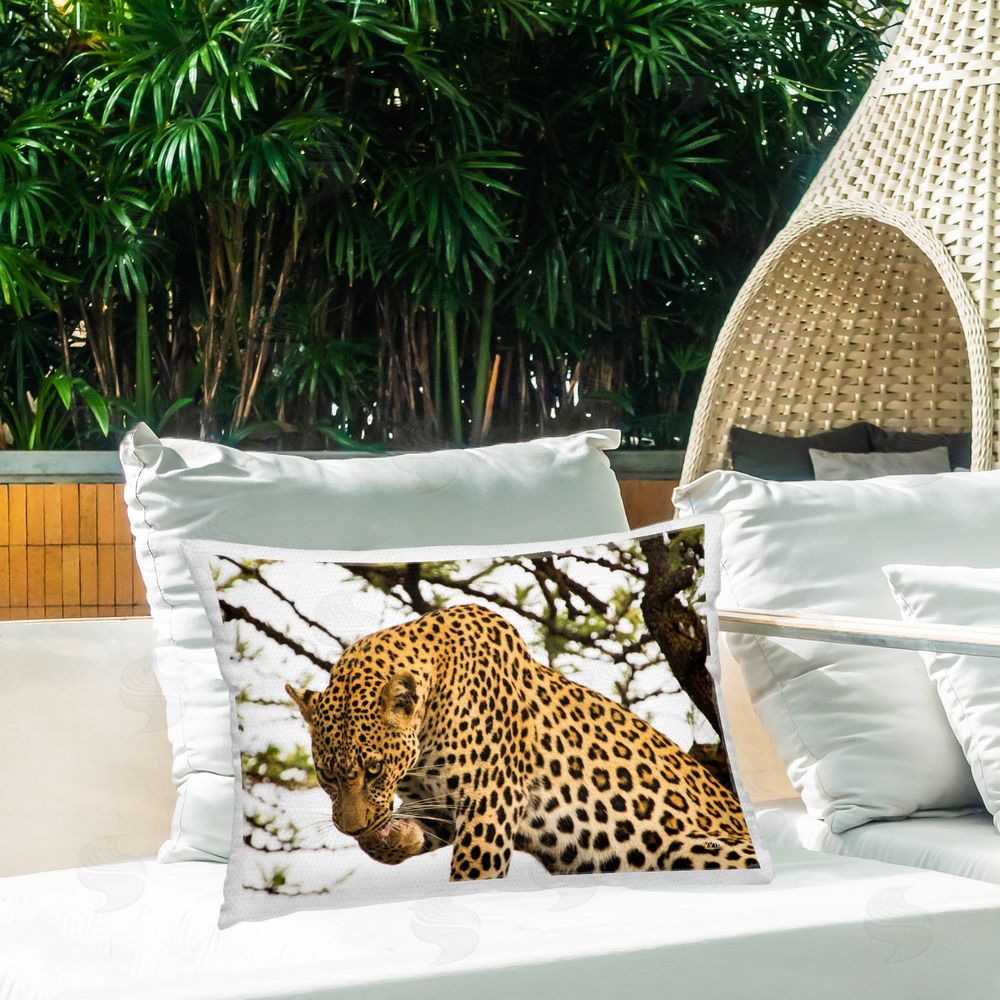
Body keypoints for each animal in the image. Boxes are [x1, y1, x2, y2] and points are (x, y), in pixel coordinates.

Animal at [286, 602, 759, 881]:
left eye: (374, 769)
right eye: (326, 774)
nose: (352, 827)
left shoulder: (487, 805)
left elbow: (472, 878)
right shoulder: (440, 806)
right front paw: (390, 837)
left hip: (693, 845)